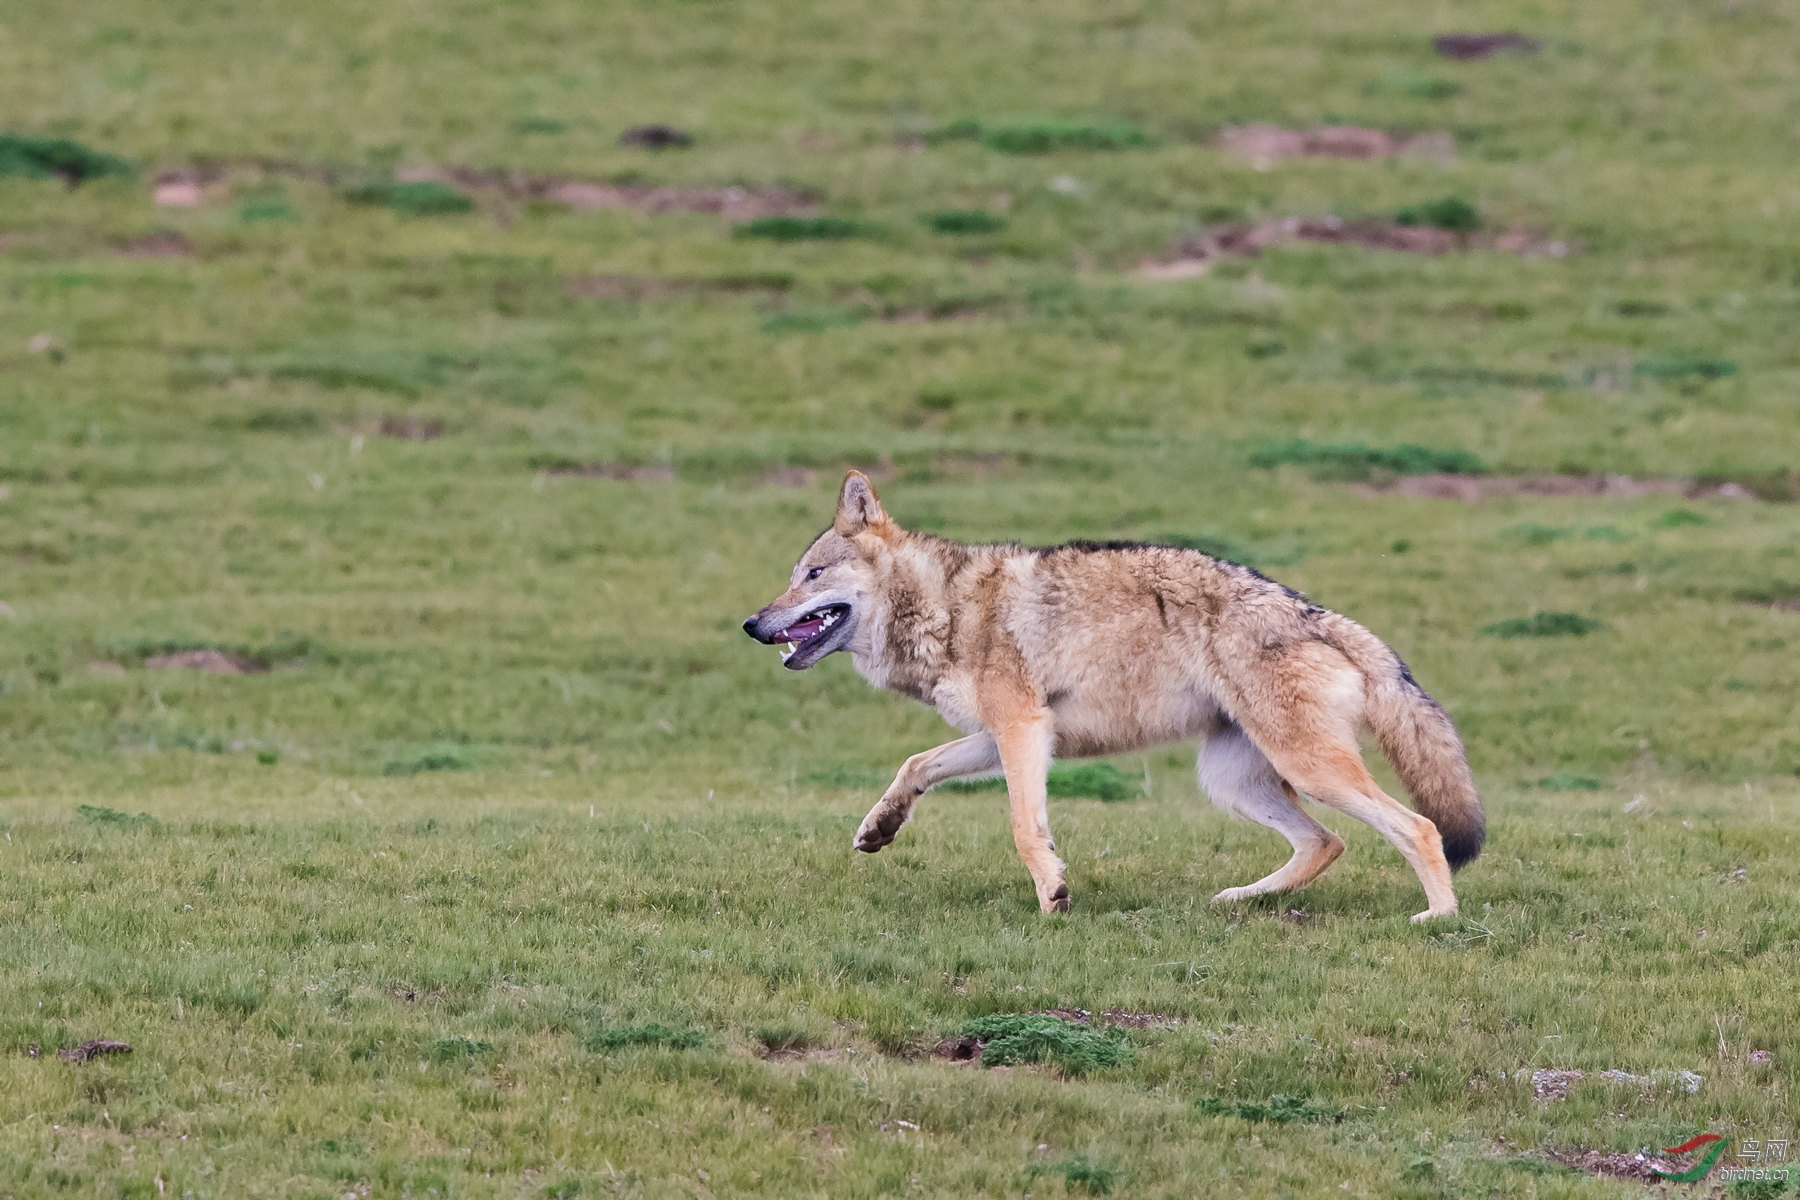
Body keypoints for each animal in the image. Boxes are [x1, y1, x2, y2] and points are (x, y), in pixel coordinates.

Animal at [738, 467, 1483, 921]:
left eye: (811, 576)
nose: (751, 624)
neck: (946, 607)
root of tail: (1320, 614)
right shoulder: (1006, 734)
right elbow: (915, 765)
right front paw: (879, 828)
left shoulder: (1021, 730)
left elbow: (1024, 826)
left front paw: (1053, 897)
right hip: (1233, 780)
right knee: (1326, 843)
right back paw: (1238, 898)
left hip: (1308, 768)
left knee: (1417, 827)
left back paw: (1439, 917)